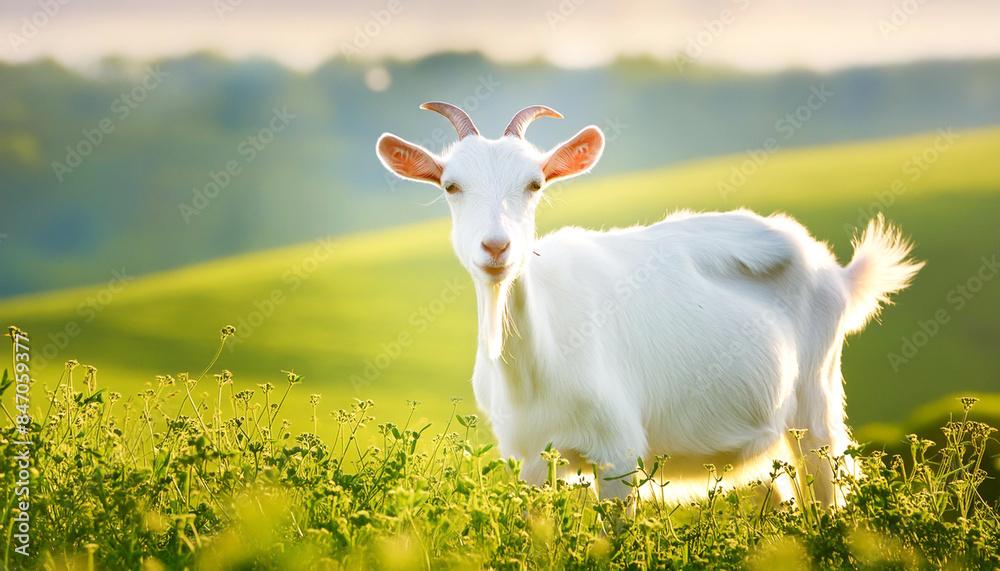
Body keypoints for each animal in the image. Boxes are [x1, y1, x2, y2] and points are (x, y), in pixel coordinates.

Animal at [375, 102, 923, 506]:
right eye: (451, 186)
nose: (496, 247)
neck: (534, 365)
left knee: (829, 487)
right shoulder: (527, 460)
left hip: (817, 400)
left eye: (535, 184)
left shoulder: (618, 454)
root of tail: (836, 271)